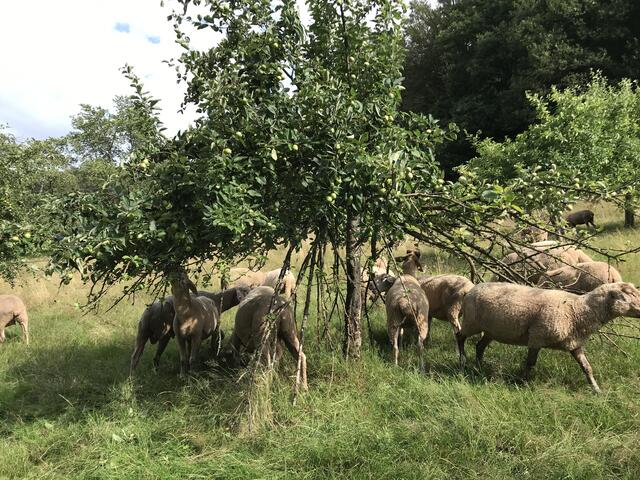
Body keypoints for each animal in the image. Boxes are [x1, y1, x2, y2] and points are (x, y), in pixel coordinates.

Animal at [457, 282, 640, 392]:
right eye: (629, 294)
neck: (578, 310)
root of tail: (471, 290)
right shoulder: (536, 337)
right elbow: (530, 364)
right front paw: (522, 383)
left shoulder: (574, 344)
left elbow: (587, 367)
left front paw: (596, 389)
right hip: (472, 321)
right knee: (460, 336)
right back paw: (463, 361)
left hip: (491, 330)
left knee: (479, 346)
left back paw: (479, 366)